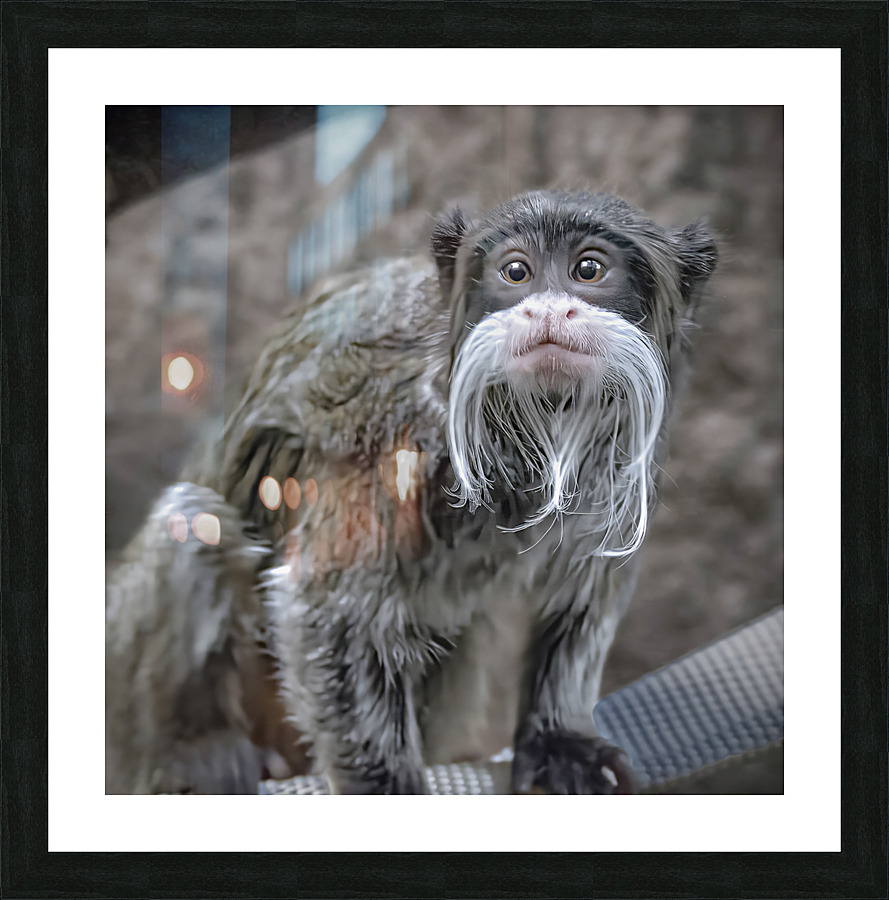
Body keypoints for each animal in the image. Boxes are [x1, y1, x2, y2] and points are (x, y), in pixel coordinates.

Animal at [105, 190, 717, 794]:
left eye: (588, 270)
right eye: (516, 271)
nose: (547, 309)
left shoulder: (618, 460)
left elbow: (582, 598)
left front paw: (557, 739)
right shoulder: (387, 432)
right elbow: (331, 609)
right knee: (192, 522)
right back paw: (194, 752)